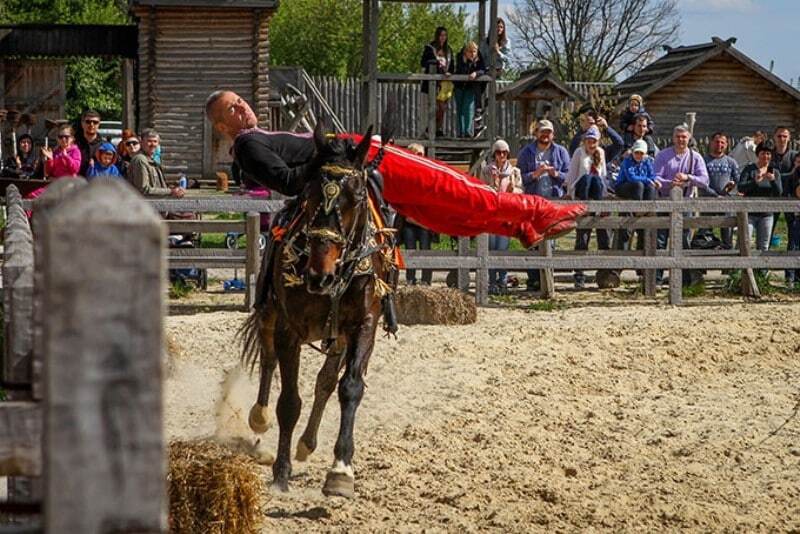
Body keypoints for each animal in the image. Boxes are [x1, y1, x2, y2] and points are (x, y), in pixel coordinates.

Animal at [241, 121, 396, 498]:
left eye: (357, 197)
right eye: (311, 194)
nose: (319, 275)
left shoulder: (364, 324)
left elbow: (349, 388)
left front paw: (341, 470)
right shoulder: (289, 328)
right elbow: (288, 402)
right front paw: (281, 473)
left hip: (338, 336)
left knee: (325, 383)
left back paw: (308, 443)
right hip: (269, 315)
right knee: (267, 361)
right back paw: (260, 417)